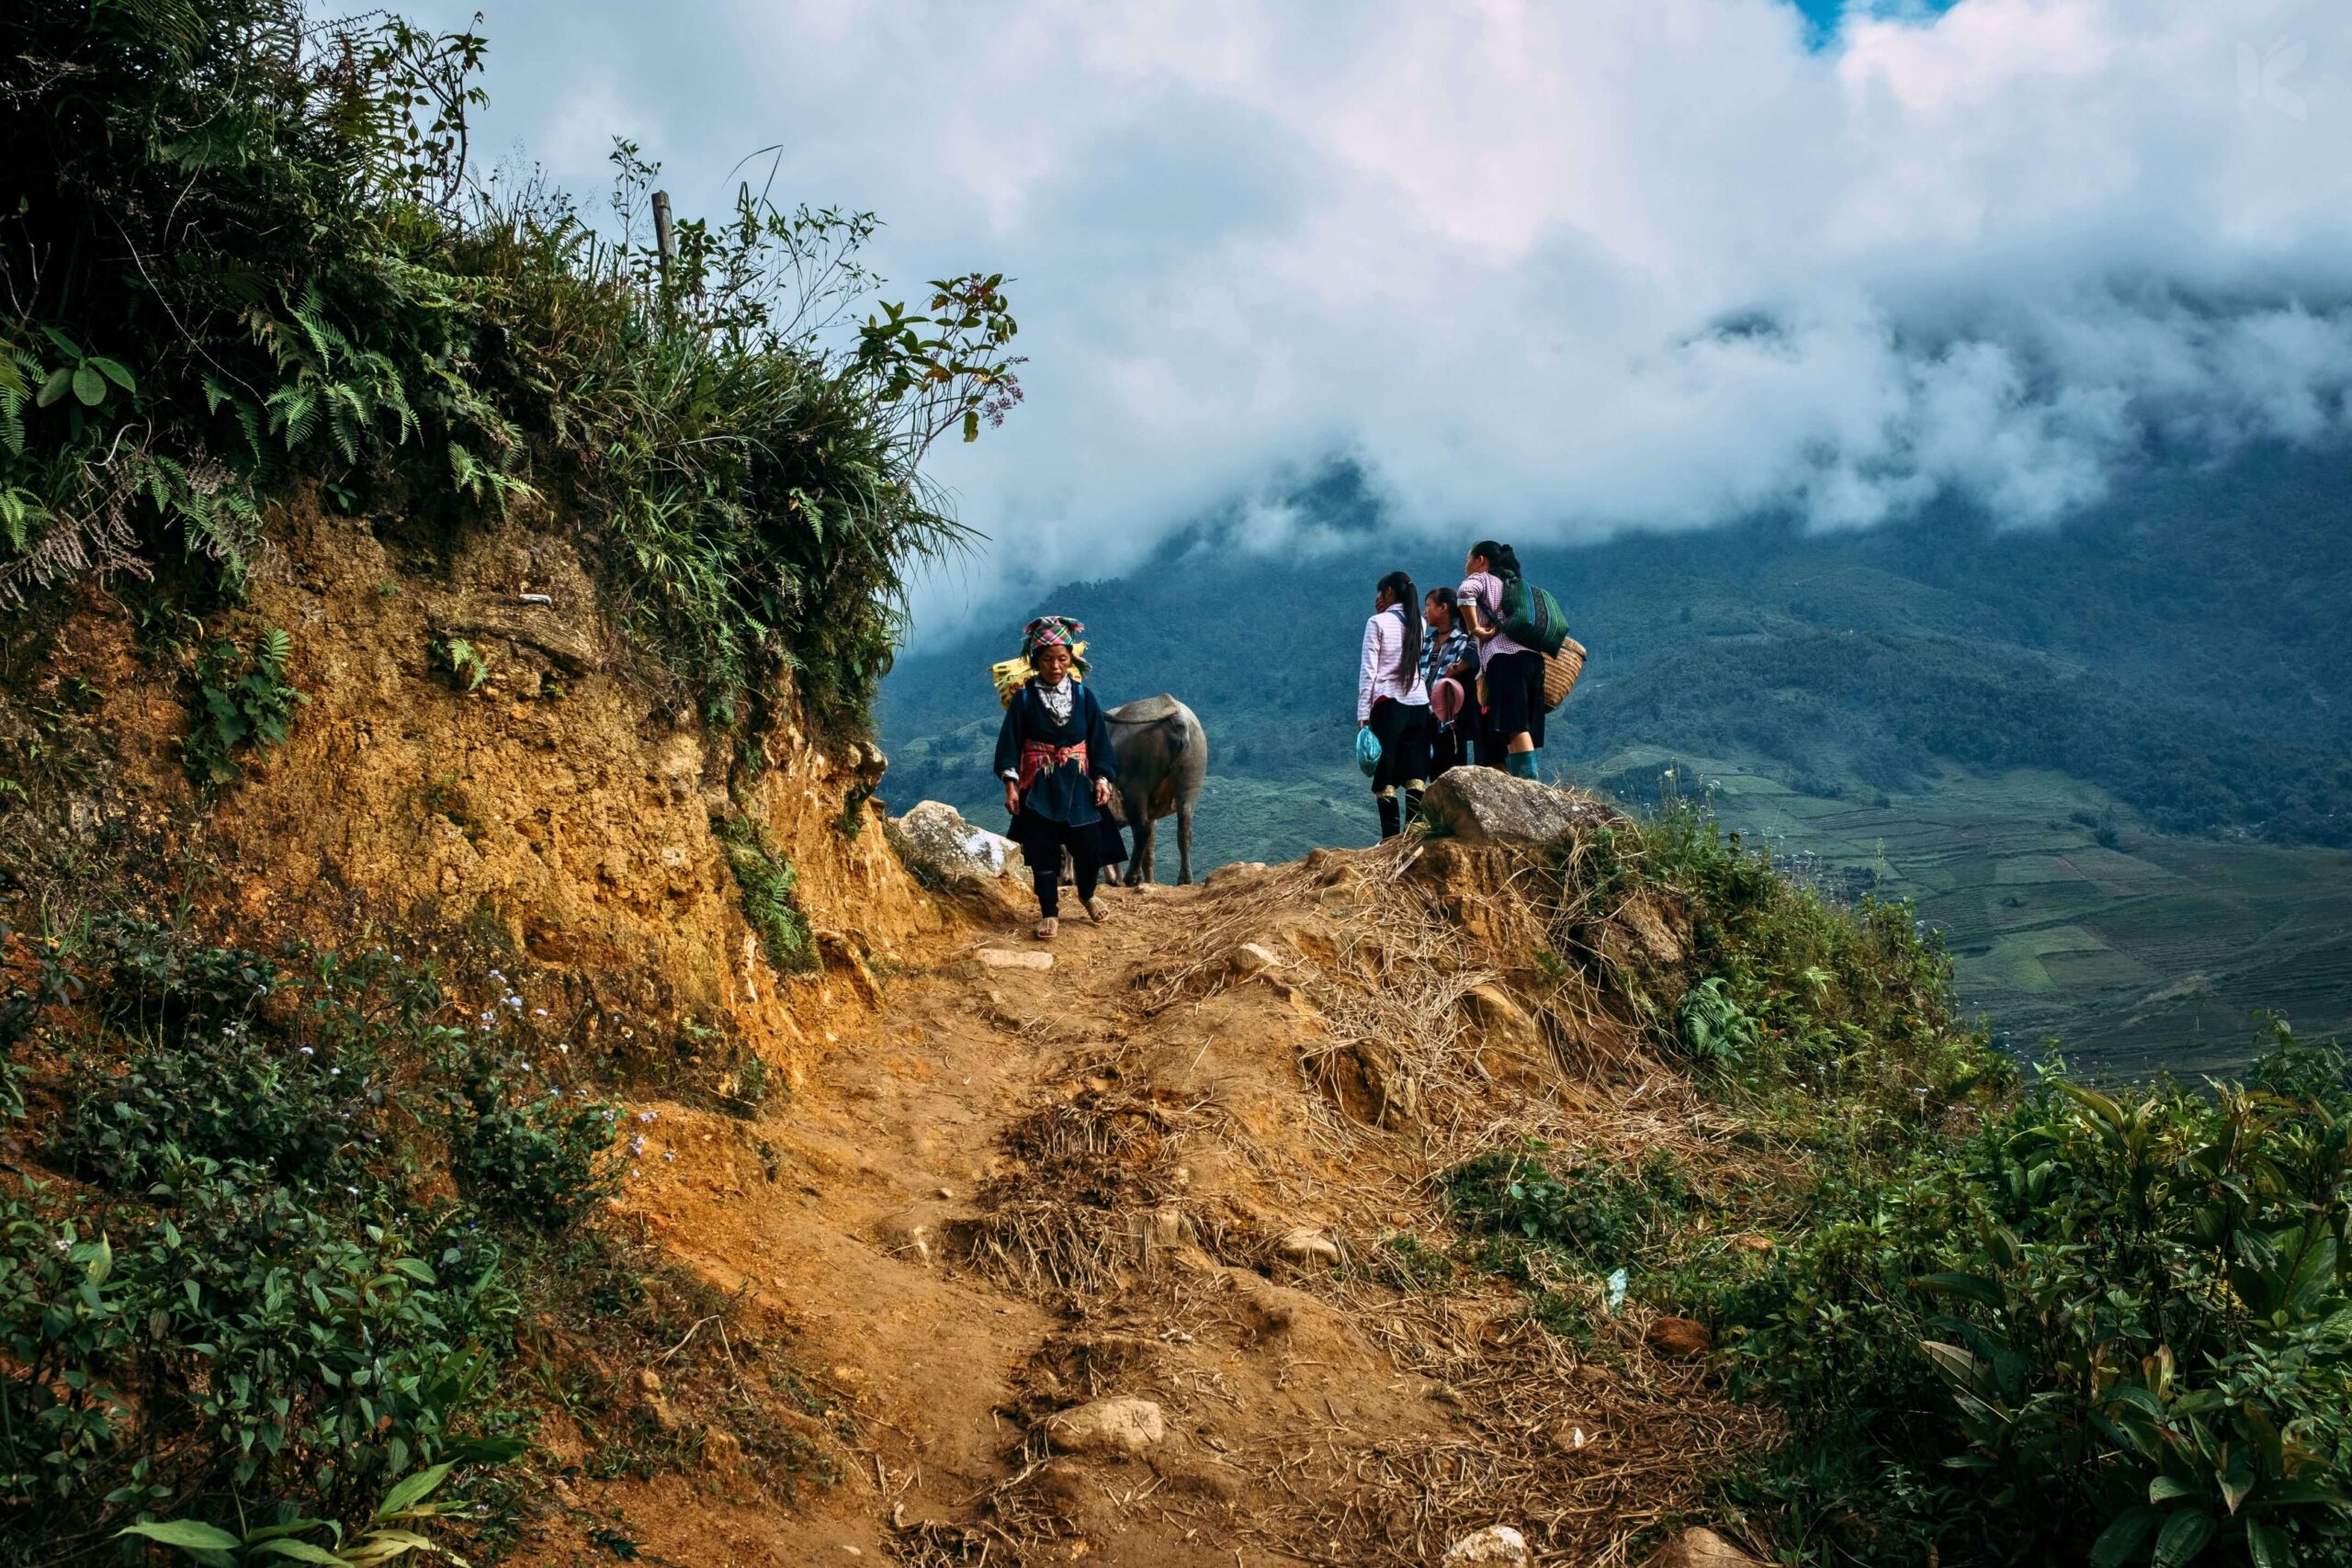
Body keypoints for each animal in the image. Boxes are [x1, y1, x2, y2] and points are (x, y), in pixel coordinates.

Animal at [1105, 695, 1213, 884]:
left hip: (1136, 789)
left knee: (1142, 830)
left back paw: (1131, 877)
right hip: (1190, 784)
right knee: (1184, 830)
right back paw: (1184, 879)